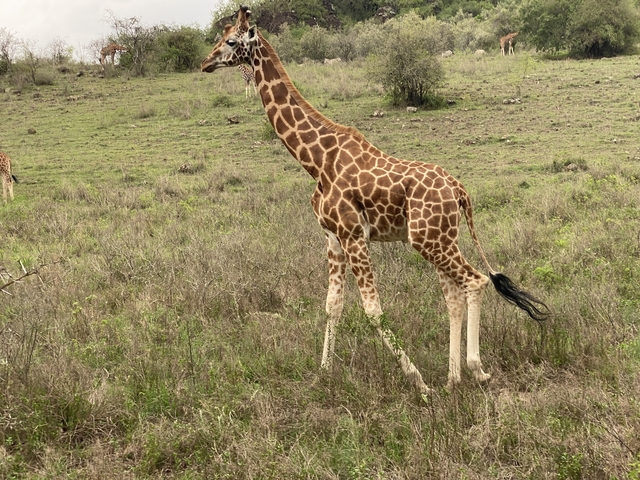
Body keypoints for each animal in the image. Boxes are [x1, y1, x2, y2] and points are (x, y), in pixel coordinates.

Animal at [202, 7, 549, 394]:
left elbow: (372, 310)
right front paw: (324, 373)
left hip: (430, 240)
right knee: (454, 295)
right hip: (440, 238)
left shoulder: (354, 235)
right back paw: (452, 378)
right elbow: (332, 305)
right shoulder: (333, 237)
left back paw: (474, 370)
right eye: (222, 37)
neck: (317, 160)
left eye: (232, 41)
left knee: (474, 282)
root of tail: (460, 191)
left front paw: (417, 381)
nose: (205, 62)